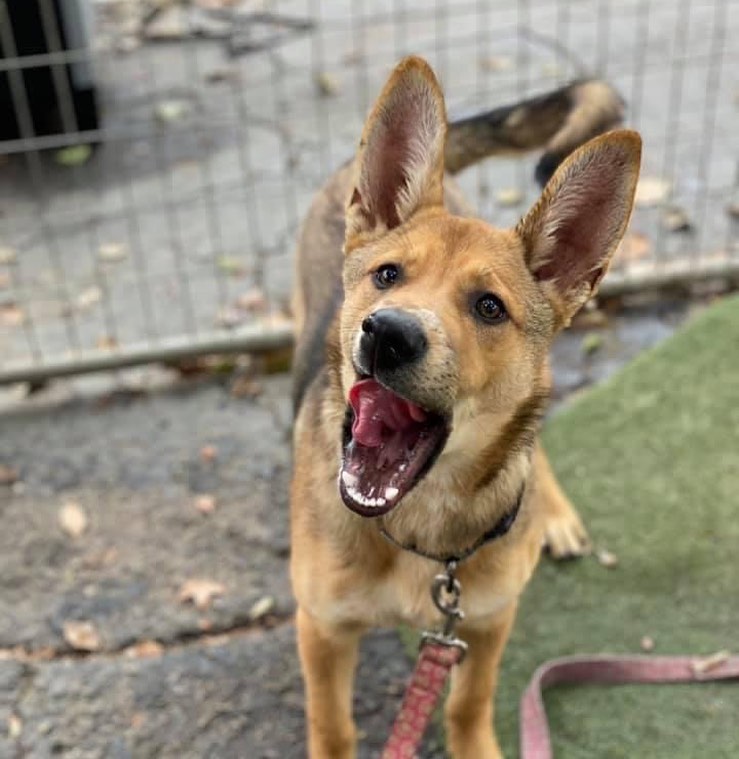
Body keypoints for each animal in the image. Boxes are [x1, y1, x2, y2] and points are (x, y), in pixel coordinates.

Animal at [290, 55, 640, 759]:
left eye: (489, 307)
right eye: (388, 275)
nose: (388, 334)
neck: (417, 527)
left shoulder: (483, 622)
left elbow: (468, 703)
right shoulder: (321, 627)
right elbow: (332, 725)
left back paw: (552, 514)